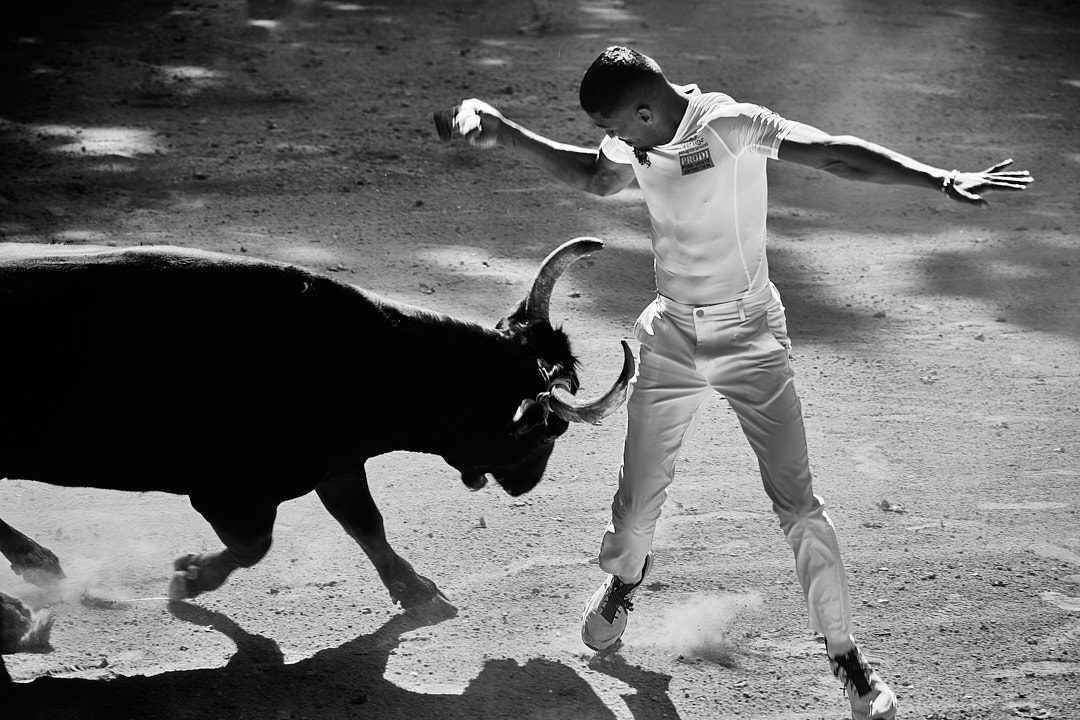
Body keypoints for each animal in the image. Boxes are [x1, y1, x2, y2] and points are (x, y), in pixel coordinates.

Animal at [0, 237, 634, 675]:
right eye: (547, 434)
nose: (528, 485)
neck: (358, 361)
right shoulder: (233, 495)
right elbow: (255, 546)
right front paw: (187, 576)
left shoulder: (337, 465)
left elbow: (366, 523)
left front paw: (418, 592)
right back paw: (21, 606)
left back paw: (33, 580)